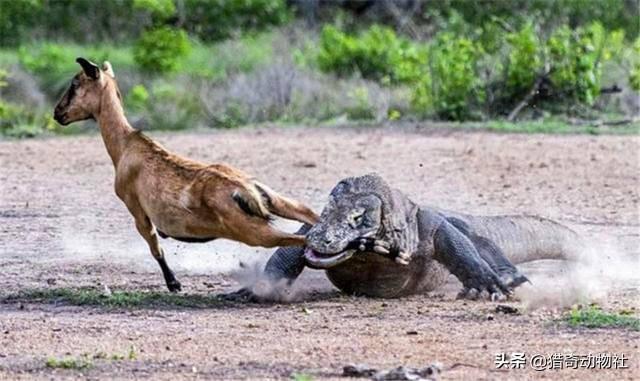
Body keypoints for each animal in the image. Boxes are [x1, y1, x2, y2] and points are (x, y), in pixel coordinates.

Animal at [53, 58, 318, 290]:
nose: (57, 113)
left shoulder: (136, 208)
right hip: (274, 200)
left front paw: (174, 284)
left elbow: (155, 246)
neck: (126, 146)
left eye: (75, 84)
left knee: (304, 240)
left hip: (253, 232)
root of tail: (245, 189)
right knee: (309, 214)